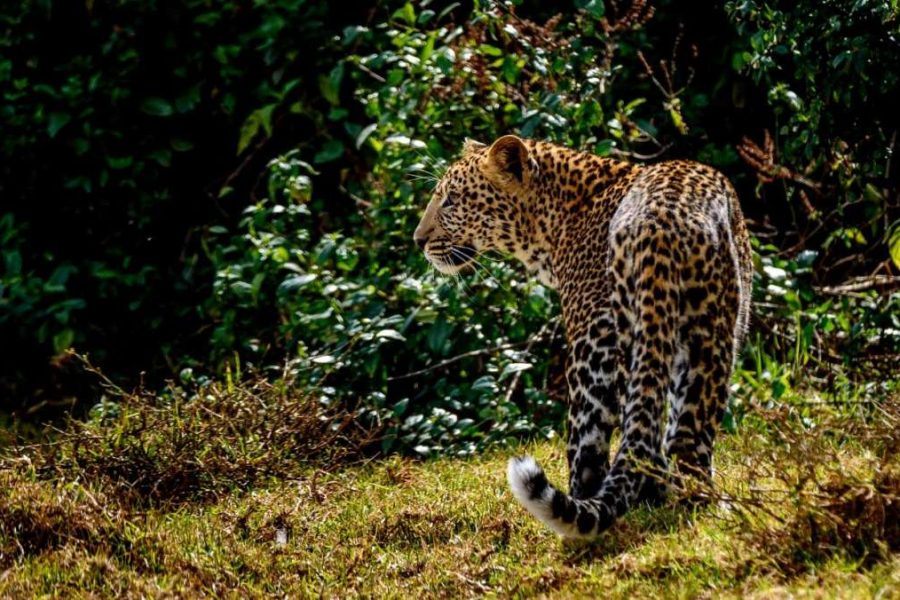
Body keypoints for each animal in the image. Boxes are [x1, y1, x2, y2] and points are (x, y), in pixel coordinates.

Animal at [413, 135, 752, 538]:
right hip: (702, 333)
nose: (418, 240)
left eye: (451, 200)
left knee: (589, 439)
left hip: (604, 342)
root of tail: (660, 222)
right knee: (679, 433)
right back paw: (691, 502)